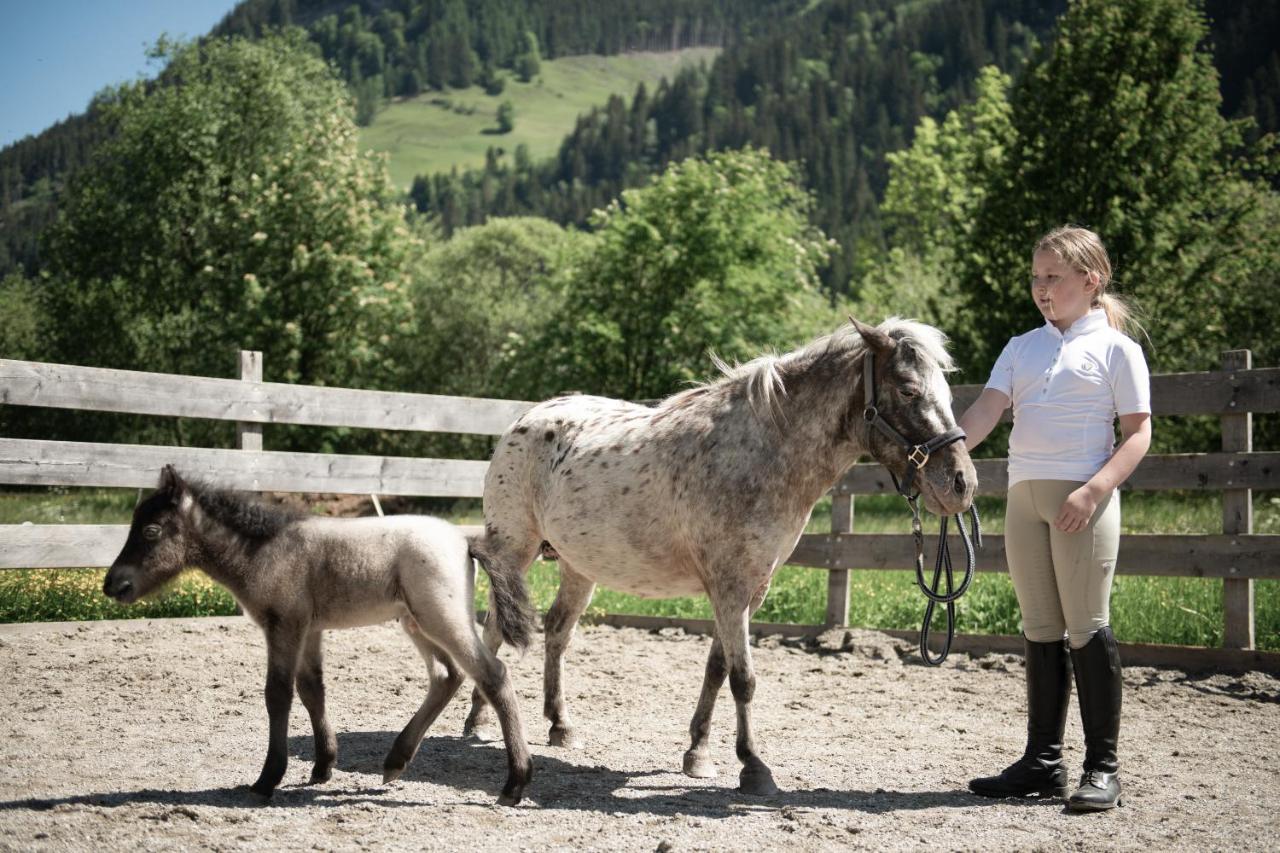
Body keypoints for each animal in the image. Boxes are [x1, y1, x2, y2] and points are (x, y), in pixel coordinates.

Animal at [103, 466, 535, 804]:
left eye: (152, 530)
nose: (113, 585)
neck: (264, 552)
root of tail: (465, 541)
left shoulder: (284, 625)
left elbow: (277, 694)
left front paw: (267, 779)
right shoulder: (309, 630)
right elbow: (312, 690)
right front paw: (323, 767)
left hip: (440, 618)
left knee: (492, 675)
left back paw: (515, 784)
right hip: (415, 622)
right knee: (447, 675)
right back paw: (396, 761)